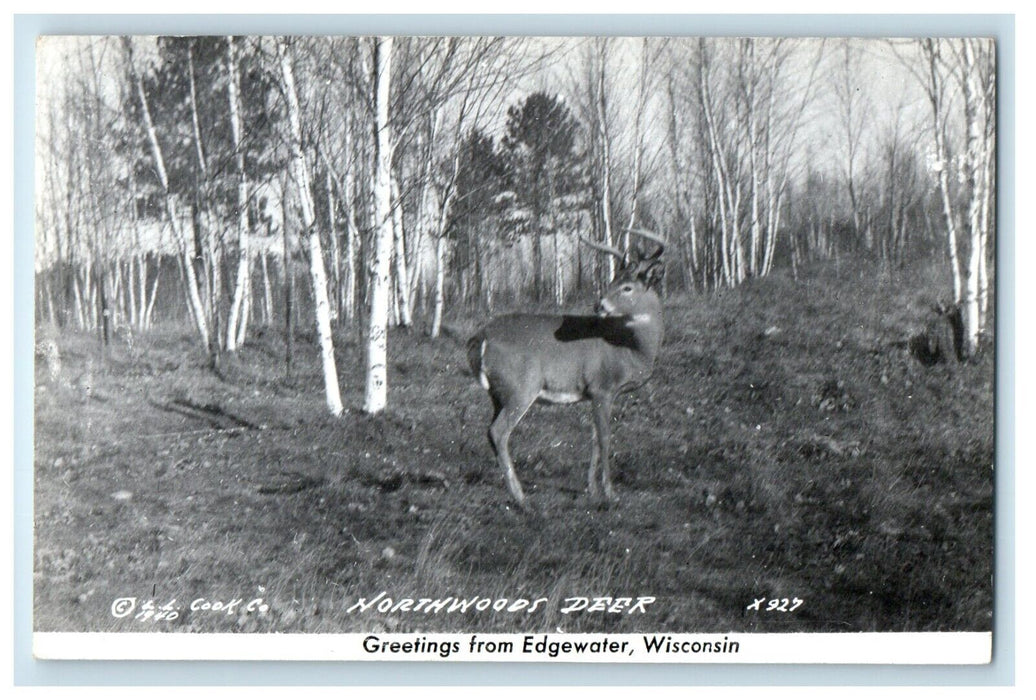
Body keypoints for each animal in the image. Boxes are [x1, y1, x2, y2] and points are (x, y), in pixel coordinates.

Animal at [468, 229, 667, 509]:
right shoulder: (602, 386)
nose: (599, 305)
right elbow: (605, 438)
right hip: (522, 386)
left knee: (491, 432)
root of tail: (481, 337)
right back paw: (521, 498)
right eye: (613, 281)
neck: (631, 348)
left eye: (627, 287)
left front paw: (592, 489)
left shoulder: (596, 394)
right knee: (498, 432)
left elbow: (594, 439)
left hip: (498, 393)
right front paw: (610, 493)